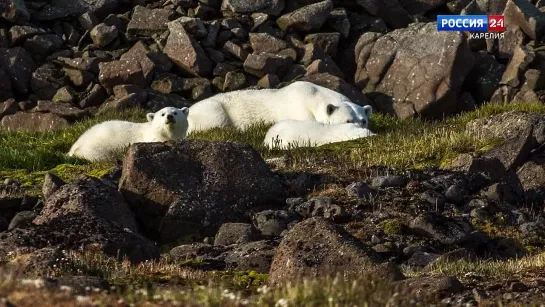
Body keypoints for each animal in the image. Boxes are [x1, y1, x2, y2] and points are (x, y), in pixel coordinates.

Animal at [185, 80, 368, 132]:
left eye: (364, 120)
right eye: (347, 121)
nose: (361, 130)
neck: (313, 95)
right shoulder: (300, 109)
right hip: (211, 109)